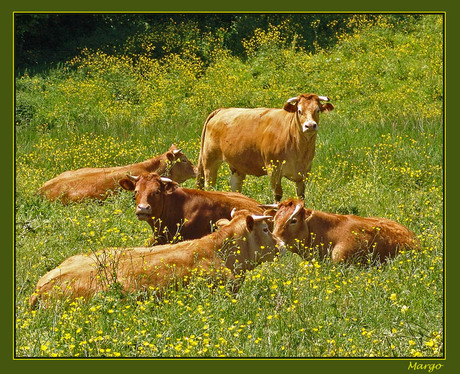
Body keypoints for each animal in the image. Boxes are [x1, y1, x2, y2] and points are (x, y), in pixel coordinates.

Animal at [196, 93, 332, 202]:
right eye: (299, 110)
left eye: (317, 110)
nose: (310, 125)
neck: (299, 149)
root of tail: (222, 110)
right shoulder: (273, 169)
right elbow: (277, 195)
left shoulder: (305, 172)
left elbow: (301, 196)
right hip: (209, 160)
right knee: (209, 185)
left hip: (237, 166)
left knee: (235, 186)